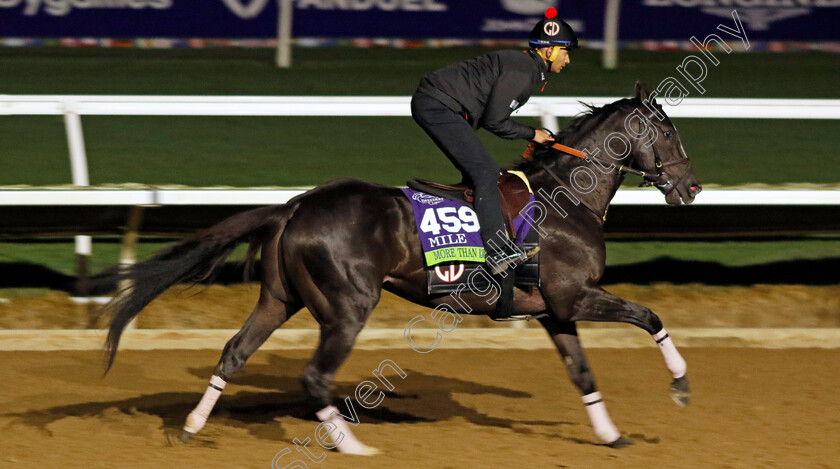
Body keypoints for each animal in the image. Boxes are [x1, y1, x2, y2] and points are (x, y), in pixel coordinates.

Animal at [103, 82, 704, 452]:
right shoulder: (574, 296)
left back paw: (191, 426)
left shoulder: (553, 309)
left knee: (235, 352)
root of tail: (295, 205)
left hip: (280, 297)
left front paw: (612, 435)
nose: (692, 186)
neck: (568, 198)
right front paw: (680, 386)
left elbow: (583, 373)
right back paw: (352, 445)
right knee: (314, 375)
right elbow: (650, 317)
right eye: (668, 133)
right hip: (348, 305)